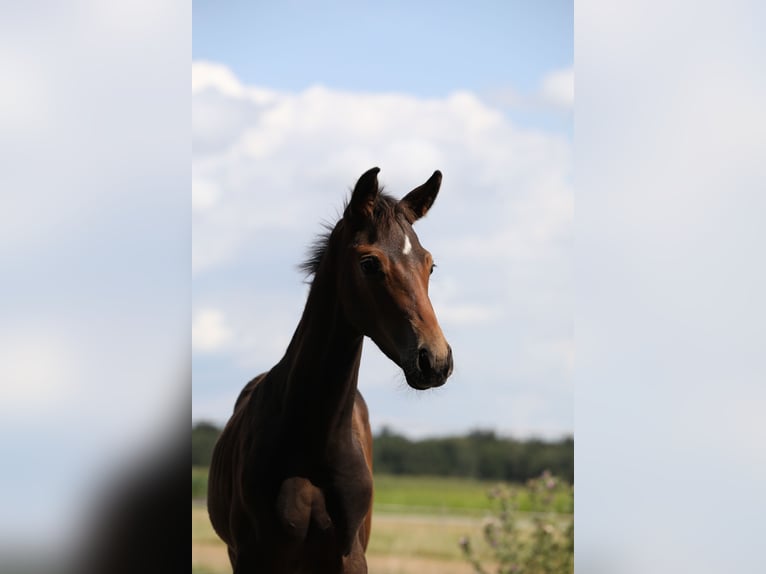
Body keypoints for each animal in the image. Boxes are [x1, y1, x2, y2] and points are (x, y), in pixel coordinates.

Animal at [207, 168, 452, 574]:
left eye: (429, 264)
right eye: (369, 263)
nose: (435, 360)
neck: (312, 443)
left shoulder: (349, 556)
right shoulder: (251, 557)